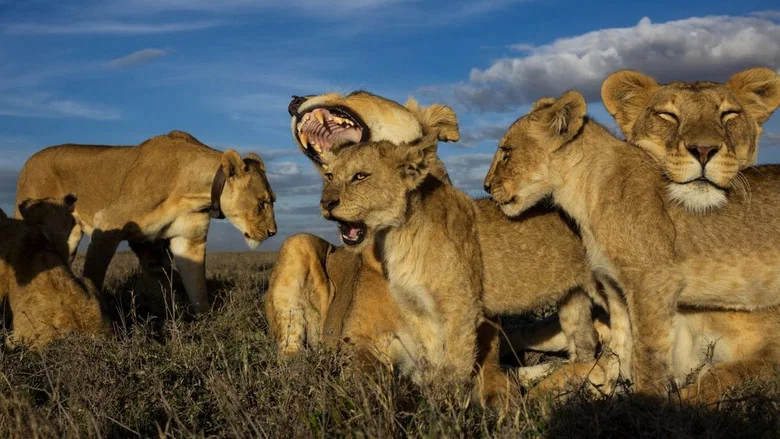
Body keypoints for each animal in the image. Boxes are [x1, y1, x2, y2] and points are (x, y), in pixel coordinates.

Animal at [16, 130, 277, 313]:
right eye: (263, 202)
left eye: (272, 200)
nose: (273, 232)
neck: (192, 192)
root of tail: (29, 160)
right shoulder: (106, 227)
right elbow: (94, 275)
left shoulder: (188, 240)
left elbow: (197, 288)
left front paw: (205, 322)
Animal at [484, 90, 780, 395]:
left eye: (506, 152)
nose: (486, 186)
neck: (583, 194)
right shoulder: (614, 286)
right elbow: (619, 349)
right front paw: (610, 391)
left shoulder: (654, 283)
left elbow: (649, 355)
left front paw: (646, 401)